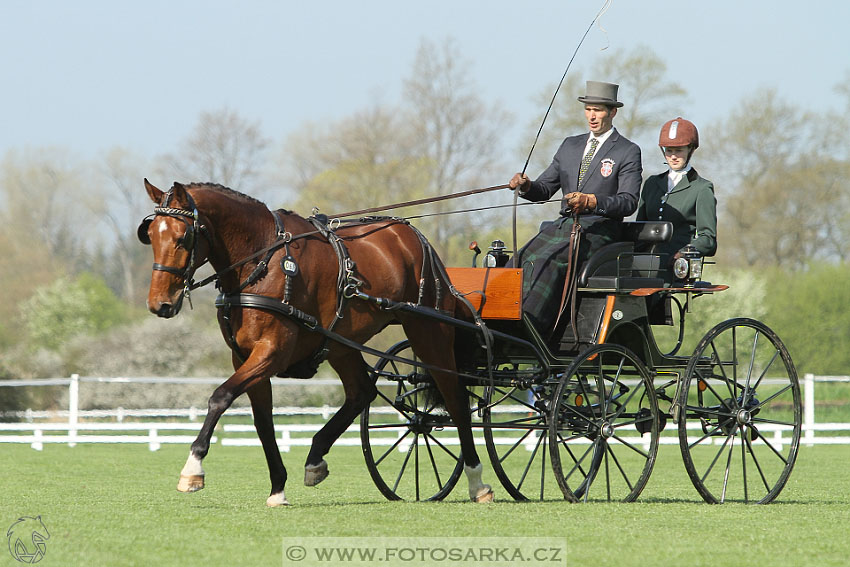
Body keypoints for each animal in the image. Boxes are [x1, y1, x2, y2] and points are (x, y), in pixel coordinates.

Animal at [137, 181, 494, 506]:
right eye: (150, 235)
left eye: (182, 238)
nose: (159, 304)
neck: (262, 260)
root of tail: (417, 240)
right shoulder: (246, 358)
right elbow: (263, 422)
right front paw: (278, 488)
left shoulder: (272, 352)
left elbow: (220, 397)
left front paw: (193, 468)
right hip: (342, 344)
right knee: (361, 393)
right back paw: (315, 457)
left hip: (429, 332)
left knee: (455, 398)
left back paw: (477, 481)